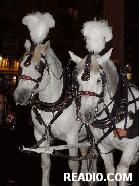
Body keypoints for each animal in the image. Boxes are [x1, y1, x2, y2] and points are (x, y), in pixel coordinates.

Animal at [13, 40, 98, 186]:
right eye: (20, 65)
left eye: (39, 67)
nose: (19, 96)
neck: (53, 105)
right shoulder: (41, 136)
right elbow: (45, 164)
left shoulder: (72, 138)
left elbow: (73, 164)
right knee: (86, 154)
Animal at [69, 49, 139, 186]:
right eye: (78, 80)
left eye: (98, 80)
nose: (85, 115)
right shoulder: (104, 148)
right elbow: (110, 171)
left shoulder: (131, 147)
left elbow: (121, 171)